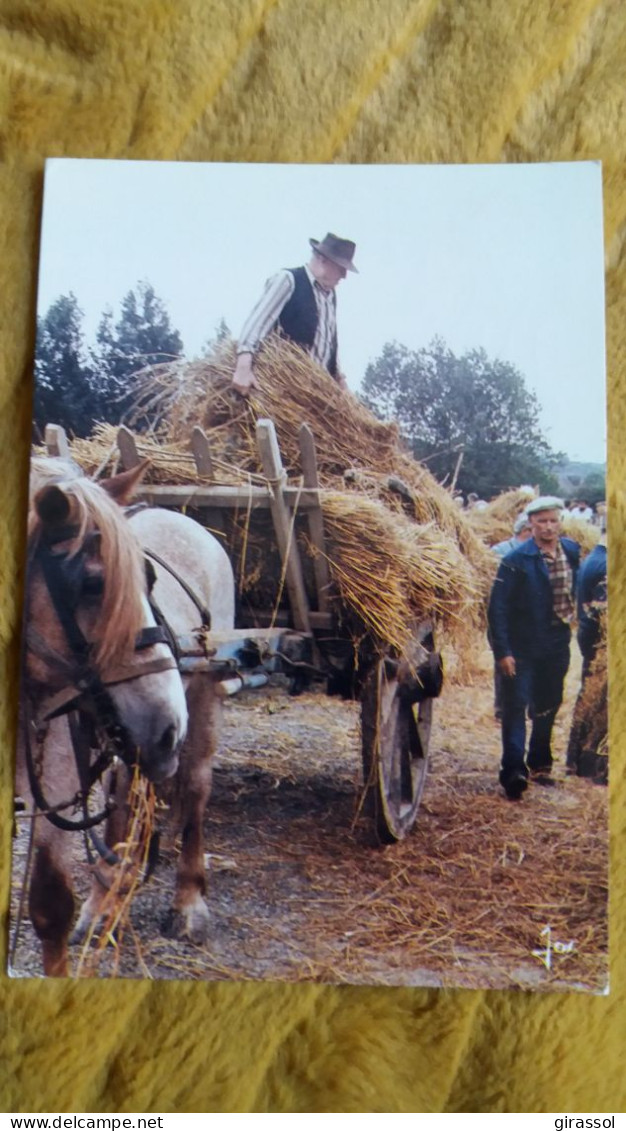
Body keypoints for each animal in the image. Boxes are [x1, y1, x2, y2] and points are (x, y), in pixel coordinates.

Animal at [14, 456, 234, 972]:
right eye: (93, 584)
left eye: (149, 580)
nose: (168, 727)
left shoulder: (54, 781)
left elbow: (49, 907)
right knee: (122, 794)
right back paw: (106, 899)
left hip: (203, 699)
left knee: (195, 788)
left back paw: (188, 900)